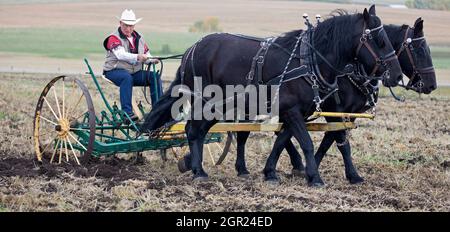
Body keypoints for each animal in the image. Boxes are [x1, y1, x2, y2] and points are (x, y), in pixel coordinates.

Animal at [140, 7, 400, 187]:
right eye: (380, 40)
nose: (396, 74)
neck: (309, 61)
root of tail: (191, 49)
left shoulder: (296, 112)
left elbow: (283, 140)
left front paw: (271, 172)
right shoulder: (294, 111)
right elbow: (306, 141)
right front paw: (314, 177)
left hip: (221, 106)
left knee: (200, 130)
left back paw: (197, 168)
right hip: (204, 102)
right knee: (193, 130)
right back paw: (198, 171)